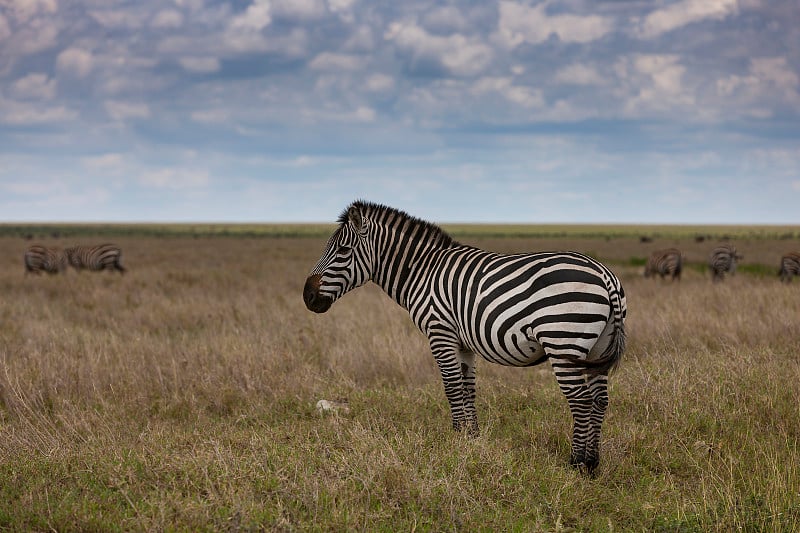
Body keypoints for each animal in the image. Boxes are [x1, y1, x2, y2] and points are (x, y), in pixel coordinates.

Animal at [304, 201, 628, 474]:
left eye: (343, 251)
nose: (307, 297)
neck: (422, 271)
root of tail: (605, 275)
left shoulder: (440, 332)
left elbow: (451, 387)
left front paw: (456, 436)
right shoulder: (464, 343)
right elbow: (467, 388)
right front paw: (471, 438)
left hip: (563, 341)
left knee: (581, 401)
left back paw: (577, 463)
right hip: (596, 349)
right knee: (600, 400)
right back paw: (594, 463)